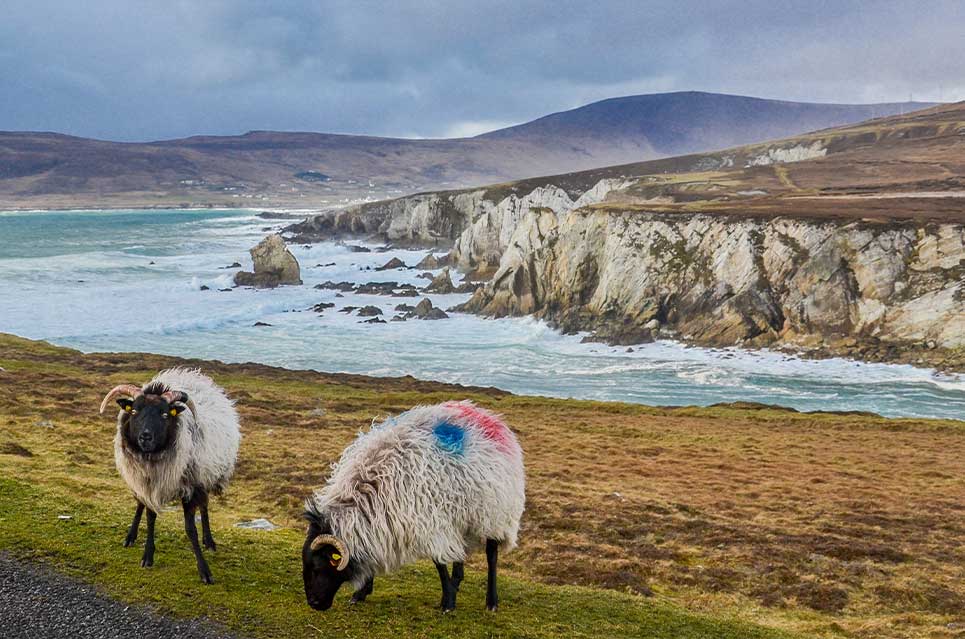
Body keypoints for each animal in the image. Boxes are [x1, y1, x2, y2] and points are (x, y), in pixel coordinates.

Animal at [98, 370, 241, 584]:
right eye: (134, 412)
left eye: (164, 414)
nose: (145, 437)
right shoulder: (148, 483)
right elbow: (150, 516)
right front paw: (147, 556)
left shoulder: (192, 487)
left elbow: (191, 529)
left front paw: (204, 570)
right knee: (139, 504)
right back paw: (130, 536)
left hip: (207, 474)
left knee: (204, 506)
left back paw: (208, 541)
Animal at [304, 402, 524, 612]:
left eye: (317, 568)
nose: (313, 603)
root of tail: (492, 419)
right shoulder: (385, 521)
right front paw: (361, 592)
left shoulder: (431, 523)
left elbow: (440, 564)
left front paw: (448, 603)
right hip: (463, 518)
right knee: (460, 554)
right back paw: (457, 582)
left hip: (496, 515)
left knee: (491, 556)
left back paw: (491, 601)